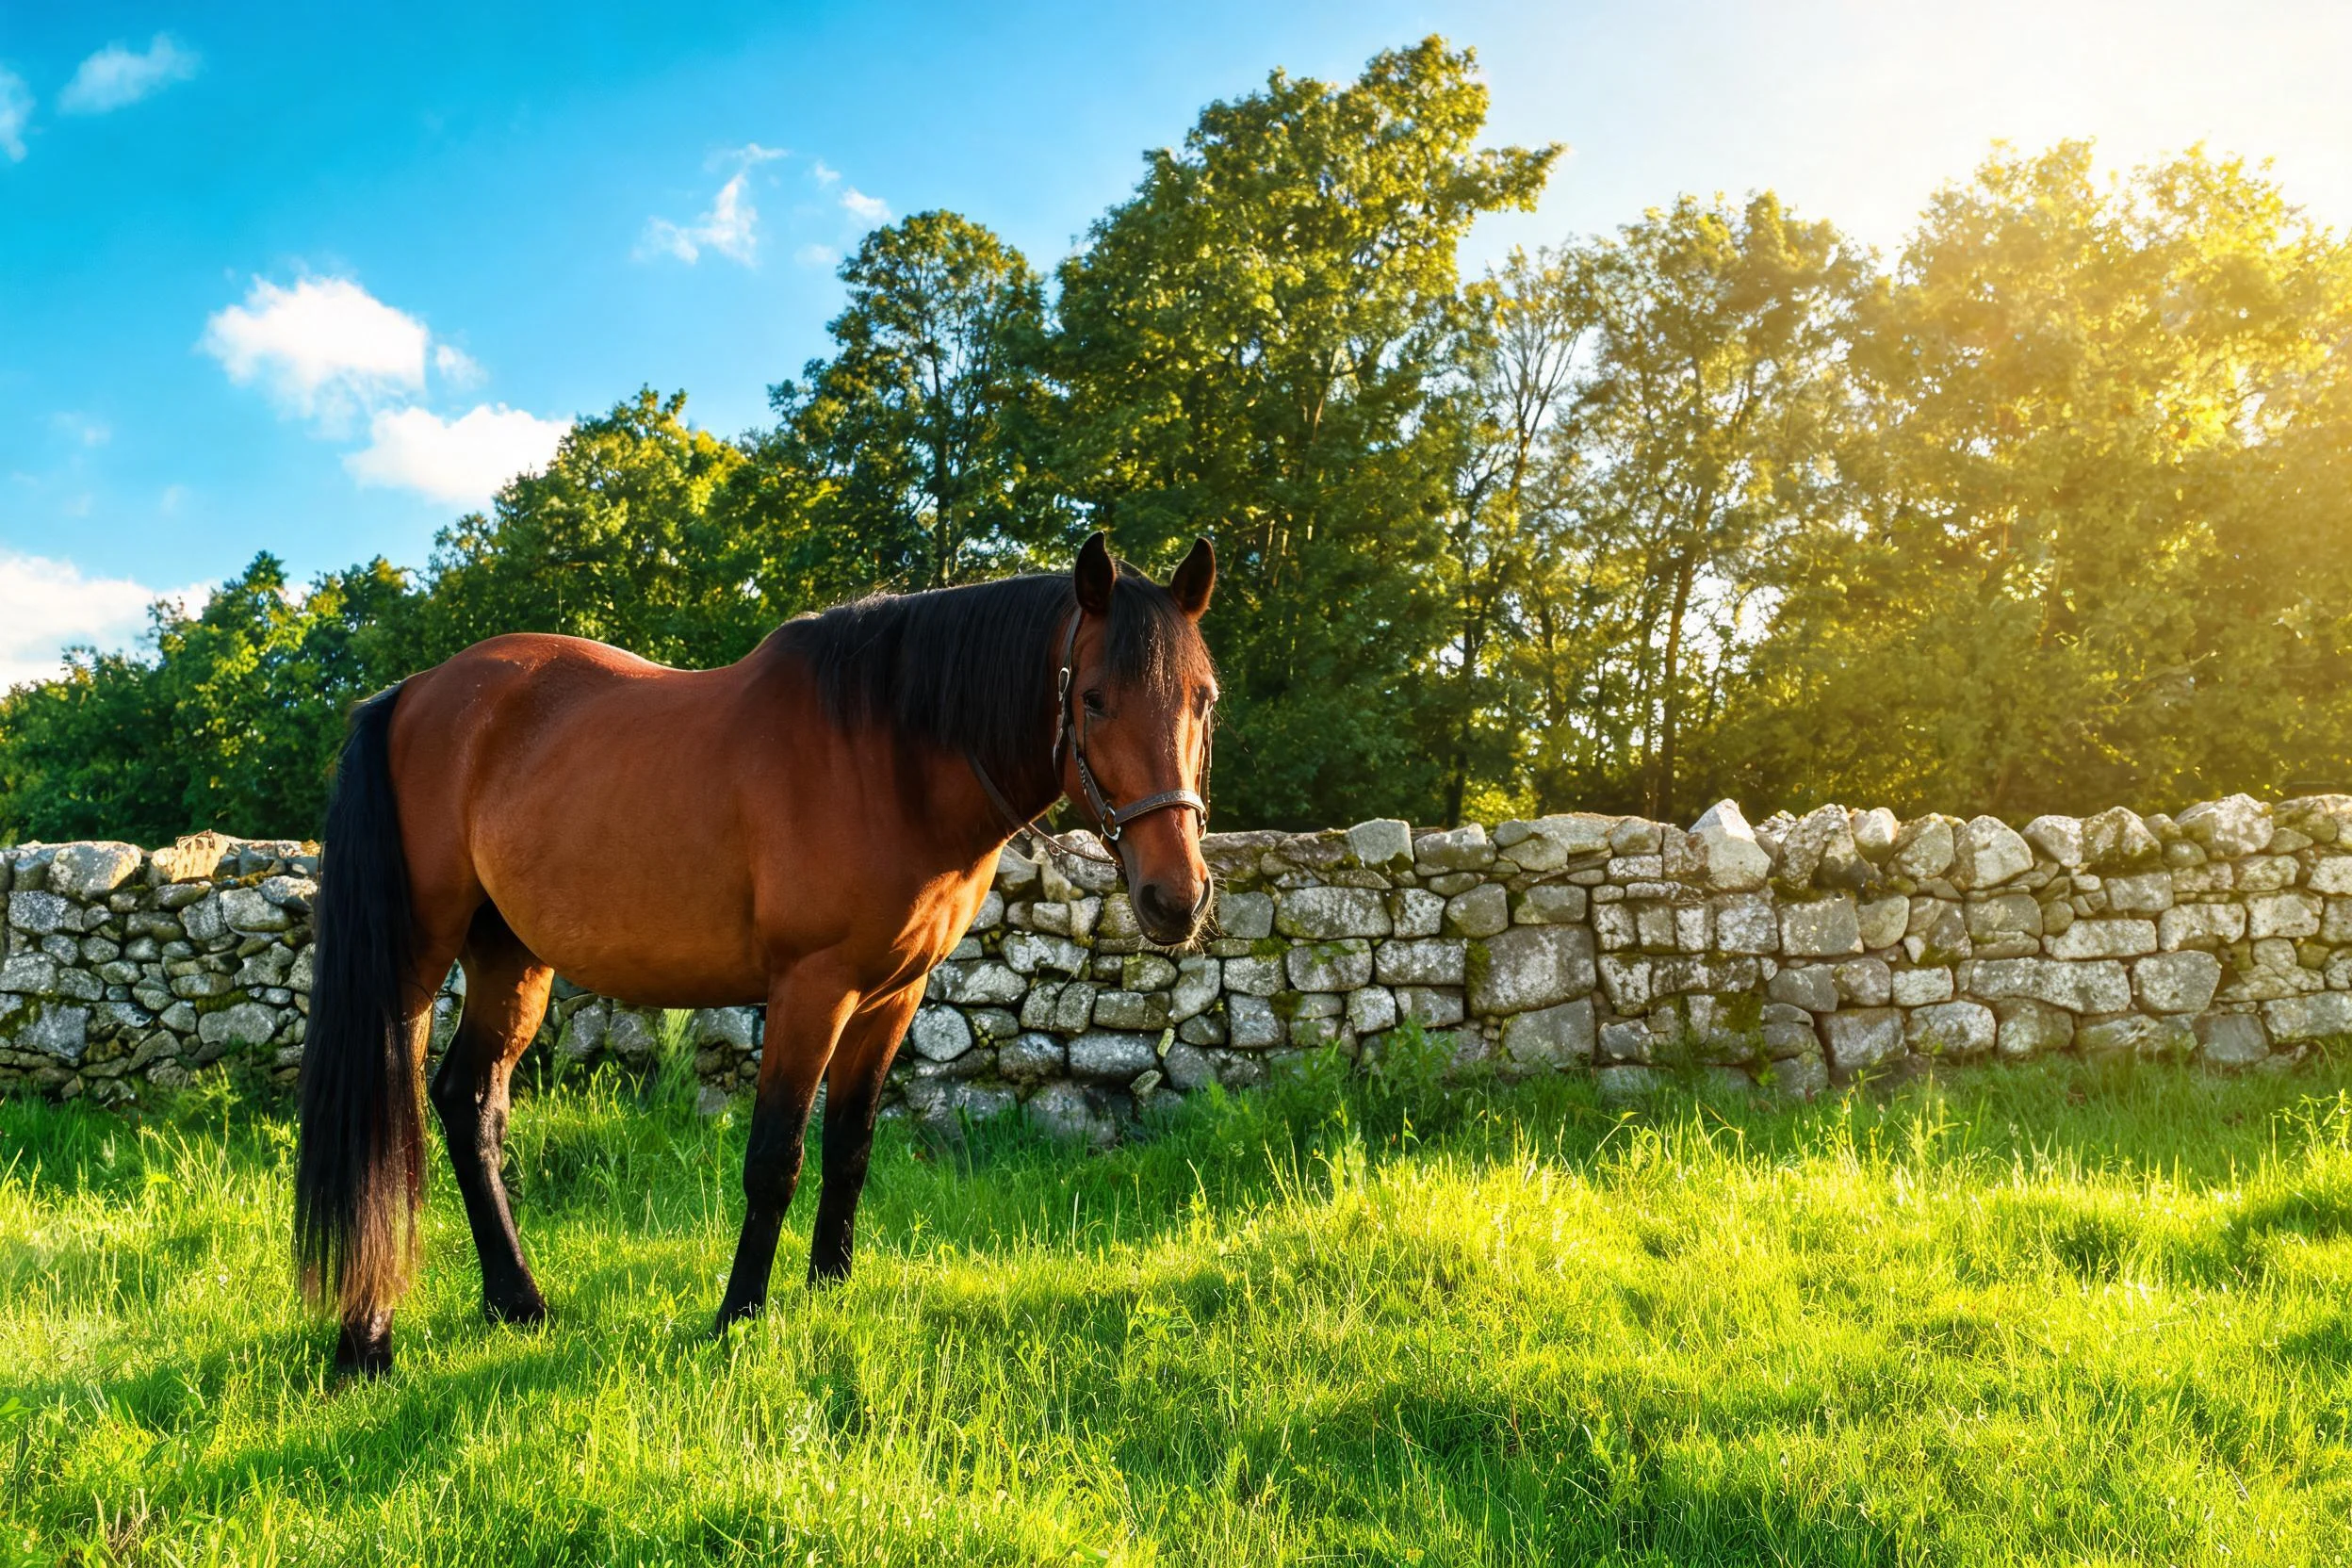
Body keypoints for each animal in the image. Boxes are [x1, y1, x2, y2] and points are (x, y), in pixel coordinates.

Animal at [292, 533, 1218, 1377]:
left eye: (1203, 698)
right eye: (1093, 698)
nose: (1177, 898)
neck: (886, 755)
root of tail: (414, 694)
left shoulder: (894, 995)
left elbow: (850, 1146)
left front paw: (829, 1288)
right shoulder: (813, 989)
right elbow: (776, 1157)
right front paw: (739, 1315)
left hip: (509, 955)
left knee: (470, 1101)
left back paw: (517, 1302)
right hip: (417, 956)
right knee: (390, 1117)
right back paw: (366, 1342)